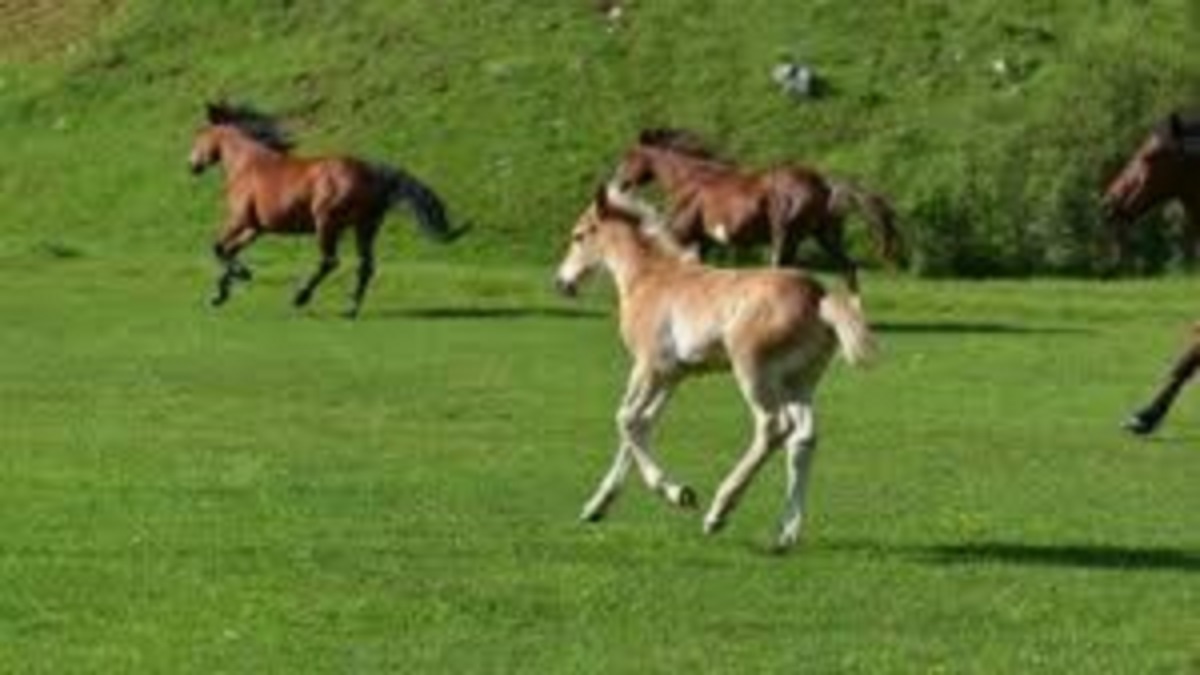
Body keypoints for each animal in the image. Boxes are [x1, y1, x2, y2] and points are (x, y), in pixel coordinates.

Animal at [188, 102, 464, 318]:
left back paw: (301, 296)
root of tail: (371, 173)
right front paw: (220, 293)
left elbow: (218, 248)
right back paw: (351, 308)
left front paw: (241, 275)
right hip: (365, 227)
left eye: (200, 133)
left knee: (330, 261)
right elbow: (228, 250)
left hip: (327, 224)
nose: (192, 165)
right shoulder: (256, 228)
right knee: (366, 266)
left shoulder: (239, 220)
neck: (247, 165)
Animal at [555, 185, 875, 549]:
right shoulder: (673, 375)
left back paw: (719, 511)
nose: (562, 283)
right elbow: (641, 424)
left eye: (578, 235)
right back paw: (787, 532)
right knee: (803, 438)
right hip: (799, 382)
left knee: (772, 426)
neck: (650, 279)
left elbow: (625, 419)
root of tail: (819, 296)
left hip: (753, 371)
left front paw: (679, 493)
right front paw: (597, 505)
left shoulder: (649, 367)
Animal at [611, 128, 904, 295]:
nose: (619, 183)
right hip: (824, 236)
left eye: (629, 156)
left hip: (784, 235)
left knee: (782, 269)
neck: (694, 181)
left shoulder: (681, 232)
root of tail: (823, 183)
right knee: (848, 269)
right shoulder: (703, 240)